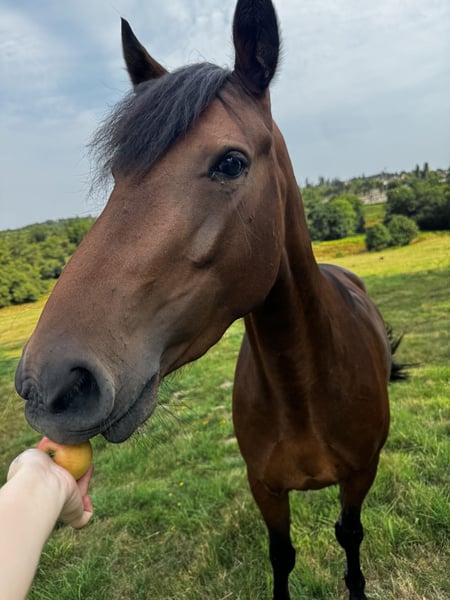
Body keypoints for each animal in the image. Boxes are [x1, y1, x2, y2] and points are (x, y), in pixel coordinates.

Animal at [14, 1, 404, 598]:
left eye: (231, 163)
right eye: (118, 173)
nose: (53, 384)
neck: (304, 393)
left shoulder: (361, 475)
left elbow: (350, 536)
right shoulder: (265, 488)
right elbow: (282, 555)